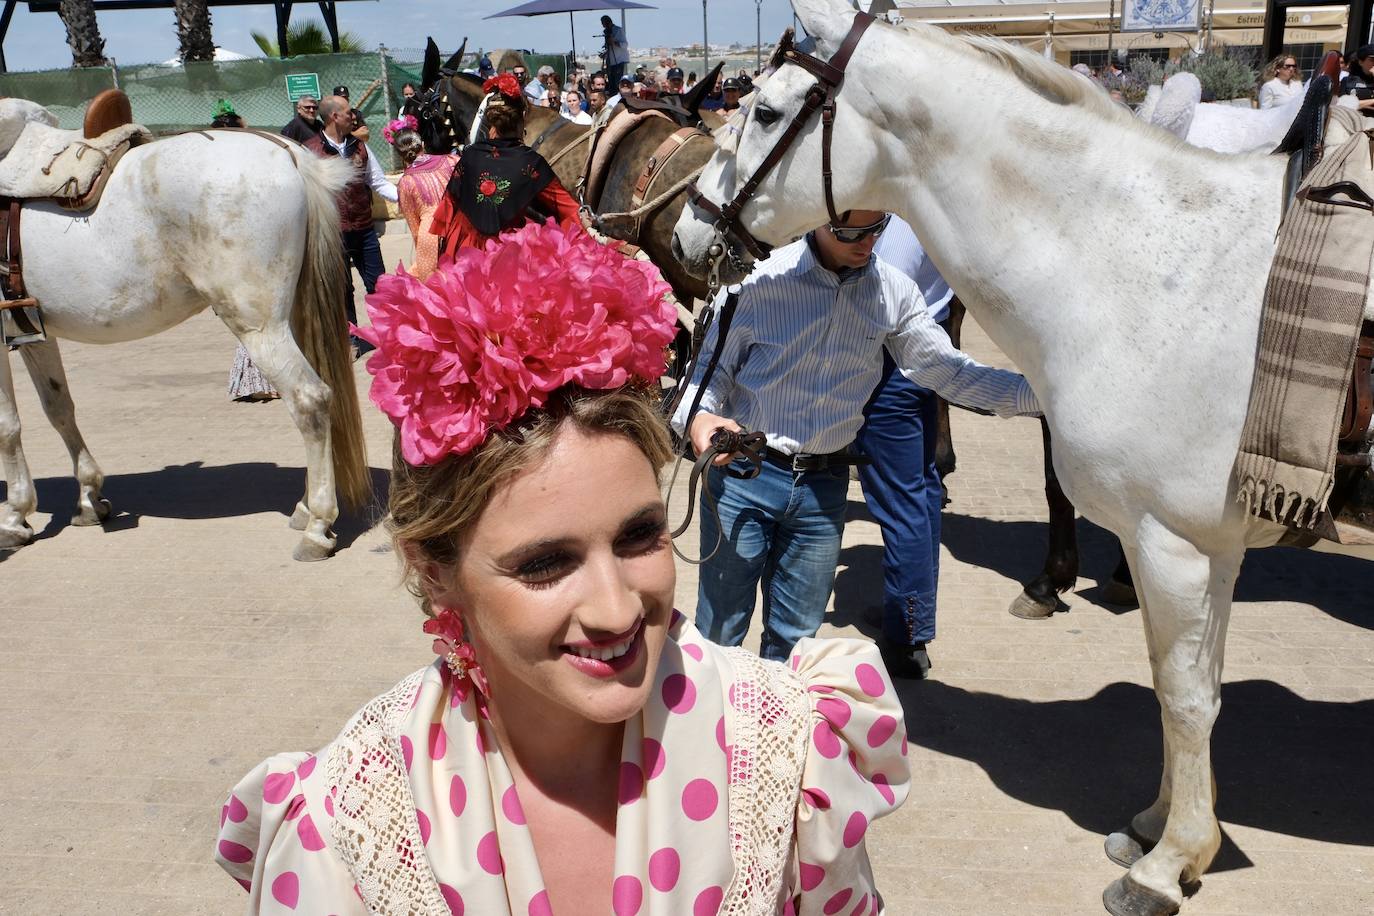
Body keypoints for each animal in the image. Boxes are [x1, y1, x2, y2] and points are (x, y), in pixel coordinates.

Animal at [0, 96, 368, 563]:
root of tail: (289, 154)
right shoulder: (34, 332)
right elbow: (58, 408)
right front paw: (87, 499)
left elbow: (8, 427)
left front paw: (15, 516)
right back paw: (305, 508)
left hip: (260, 327)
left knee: (310, 399)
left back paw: (319, 526)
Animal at [673, 3, 1374, 911]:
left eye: (763, 111)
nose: (687, 229)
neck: (1148, 269)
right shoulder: (1211, 548)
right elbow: (1196, 688)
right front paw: (1165, 828)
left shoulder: (1171, 544)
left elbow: (1182, 697)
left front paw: (1167, 864)